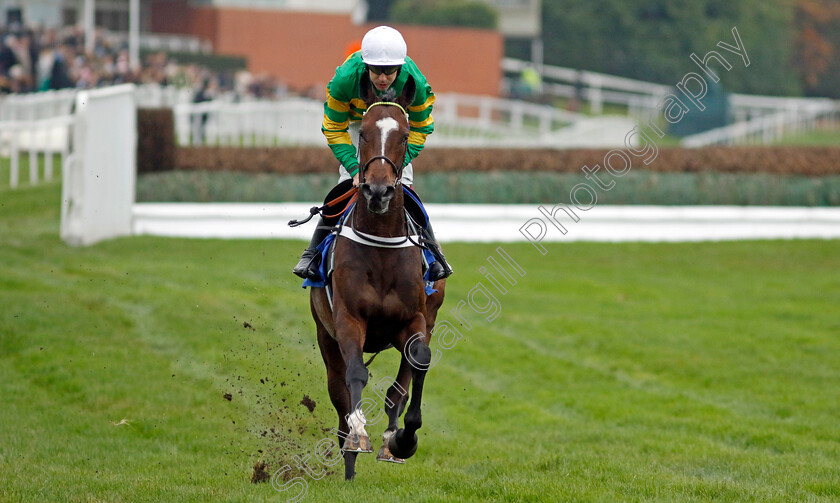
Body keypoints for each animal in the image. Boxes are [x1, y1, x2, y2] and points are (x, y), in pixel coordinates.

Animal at [308, 74, 450, 480]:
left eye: (403, 136)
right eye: (365, 134)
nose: (377, 190)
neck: (382, 244)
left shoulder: (417, 319)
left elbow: (416, 364)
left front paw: (402, 439)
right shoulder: (347, 319)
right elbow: (355, 376)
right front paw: (358, 436)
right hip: (324, 333)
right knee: (339, 392)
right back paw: (349, 453)